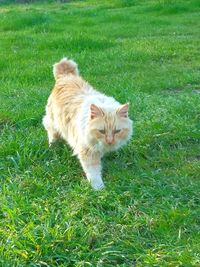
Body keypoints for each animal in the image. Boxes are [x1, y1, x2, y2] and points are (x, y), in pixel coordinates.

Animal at [42, 57, 133, 191]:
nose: (110, 141)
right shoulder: (87, 151)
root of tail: (66, 76)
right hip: (53, 122)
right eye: (102, 131)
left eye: (117, 131)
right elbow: (94, 173)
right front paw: (99, 189)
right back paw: (52, 146)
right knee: (51, 134)